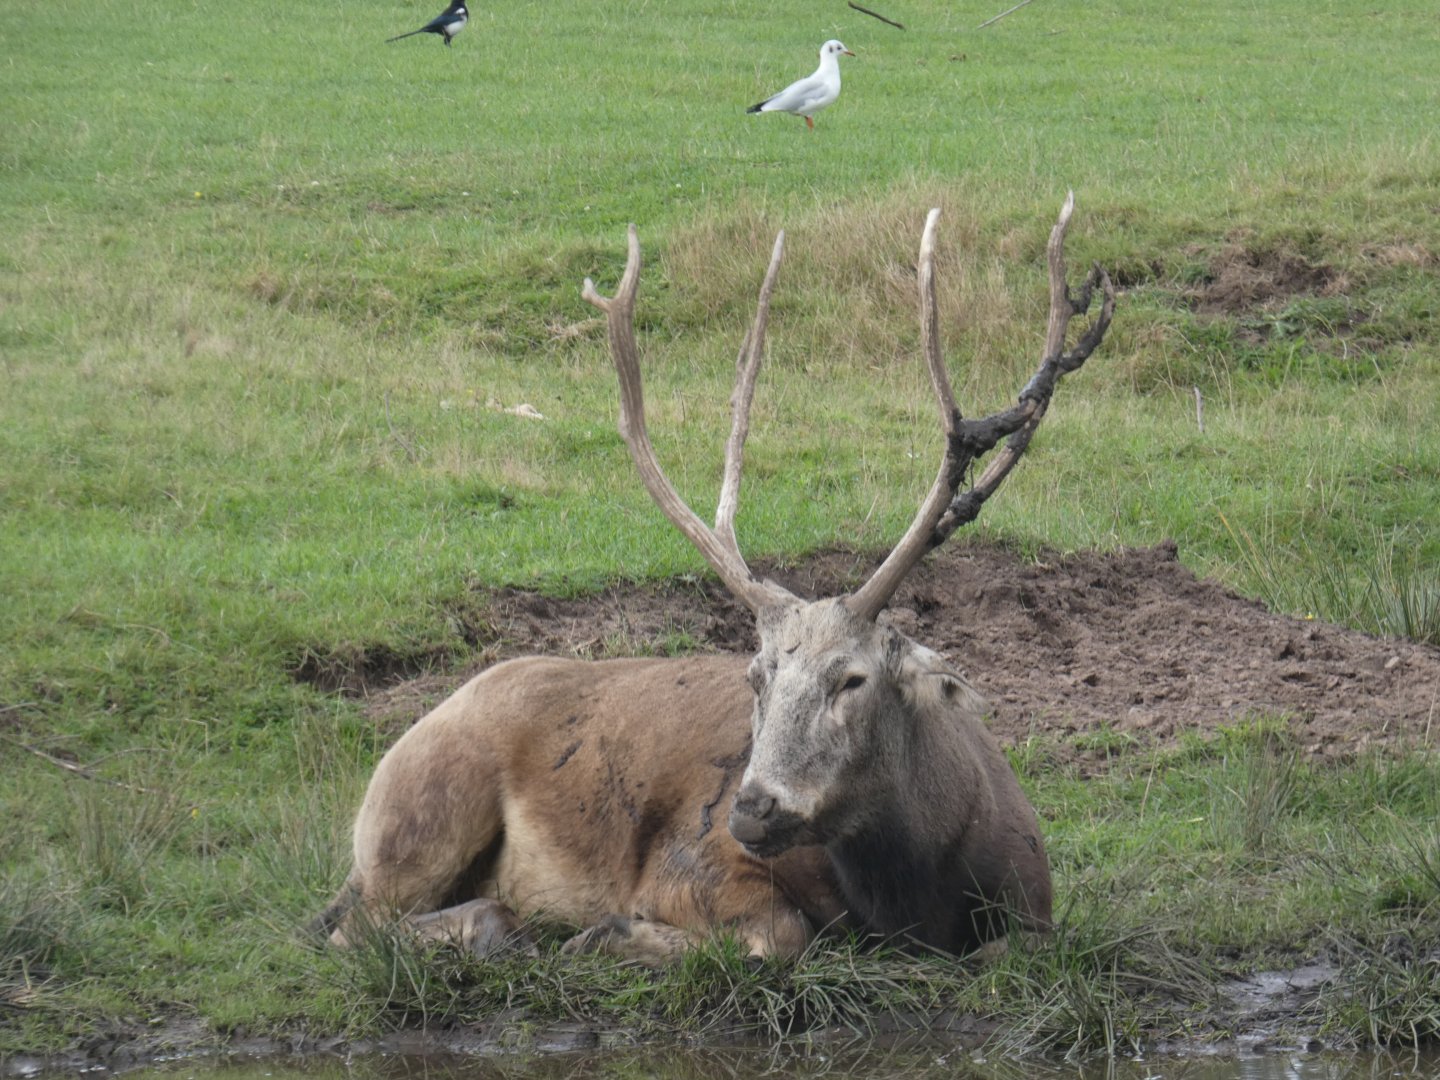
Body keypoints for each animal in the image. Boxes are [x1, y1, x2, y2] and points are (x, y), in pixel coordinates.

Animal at [313, 194, 1115, 966]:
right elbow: (782, 937)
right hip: (421, 808)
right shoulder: (687, 863)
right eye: (756, 676)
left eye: (852, 678)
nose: (753, 809)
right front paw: (607, 934)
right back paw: (505, 927)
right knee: (353, 929)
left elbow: (1009, 949)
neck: (915, 900)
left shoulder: (1035, 909)